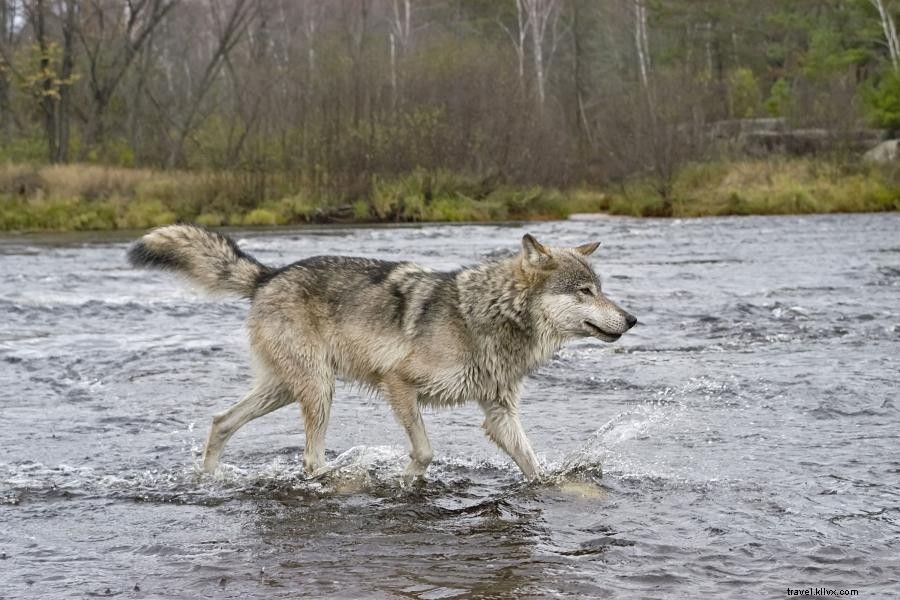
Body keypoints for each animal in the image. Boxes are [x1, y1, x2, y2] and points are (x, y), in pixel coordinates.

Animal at [127, 224, 637, 482]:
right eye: (586, 291)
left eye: (601, 289)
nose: (631, 319)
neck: (487, 316)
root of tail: (270, 275)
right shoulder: (399, 384)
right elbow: (425, 452)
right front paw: (404, 477)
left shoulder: (499, 413)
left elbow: (533, 464)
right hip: (319, 390)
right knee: (310, 459)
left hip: (287, 390)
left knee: (220, 422)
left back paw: (208, 479)